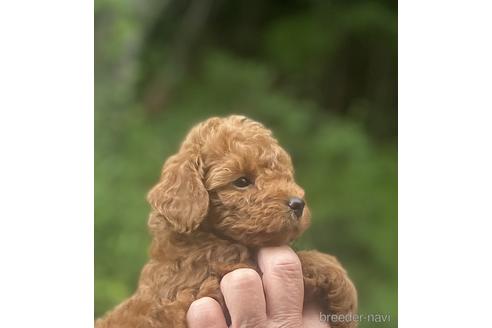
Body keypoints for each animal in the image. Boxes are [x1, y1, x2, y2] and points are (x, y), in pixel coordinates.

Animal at [96, 114, 358, 326]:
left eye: (284, 174)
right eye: (241, 181)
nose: (298, 204)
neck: (204, 239)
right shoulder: (207, 288)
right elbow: (302, 260)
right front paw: (344, 291)